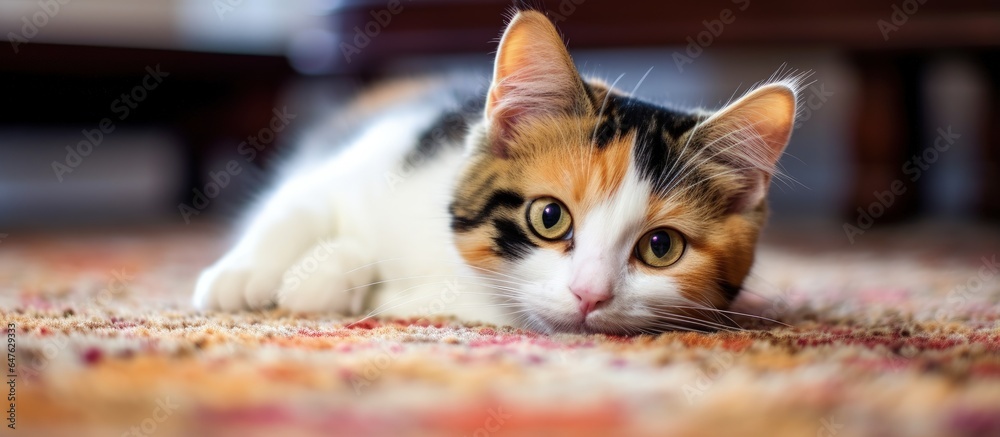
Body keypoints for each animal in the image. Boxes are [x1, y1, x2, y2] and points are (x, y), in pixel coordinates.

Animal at [193, 10, 796, 332]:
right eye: (549, 217)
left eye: (661, 247)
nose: (590, 295)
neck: (457, 275)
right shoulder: (386, 150)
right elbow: (301, 202)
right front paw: (242, 278)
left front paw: (326, 275)